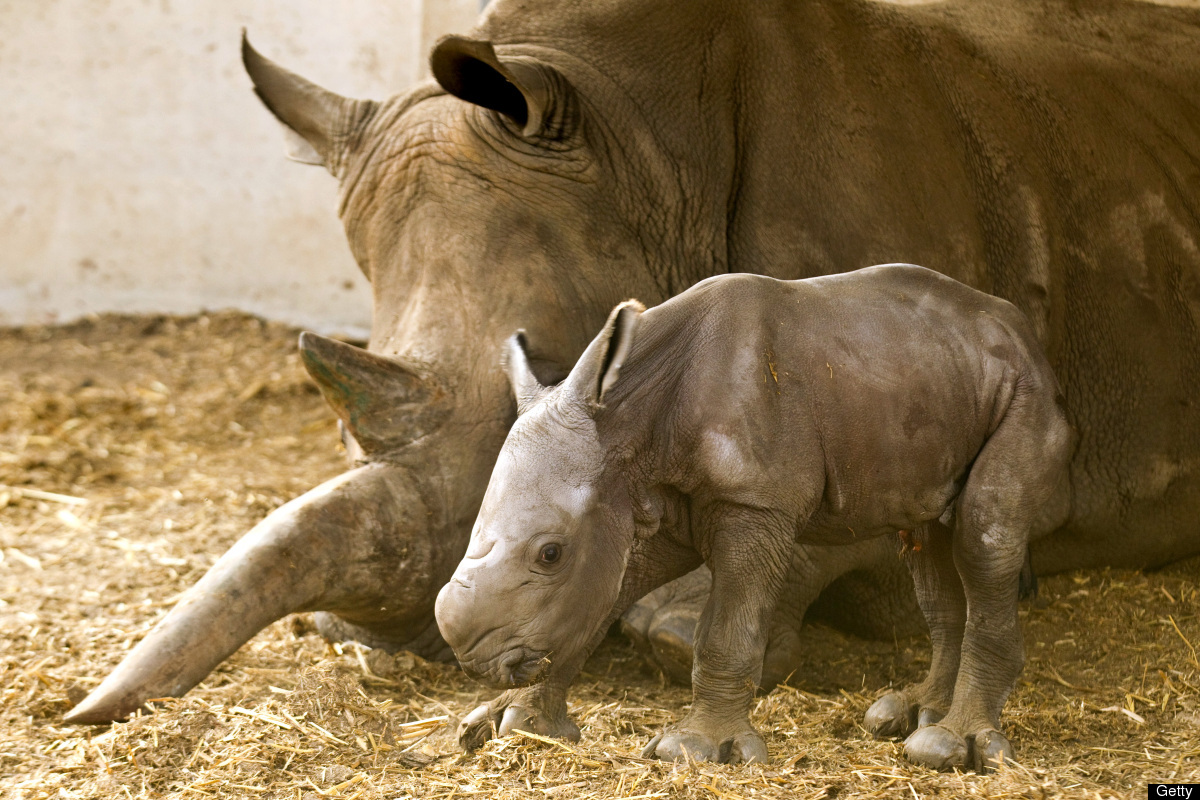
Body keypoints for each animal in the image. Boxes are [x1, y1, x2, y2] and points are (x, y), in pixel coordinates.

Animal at [435, 264, 1073, 769]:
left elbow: (727, 628)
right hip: (932, 379)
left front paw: (694, 750)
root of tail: (1021, 333)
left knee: (985, 532)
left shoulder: (755, 498)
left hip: (1025, 390)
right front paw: (508, 723)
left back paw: (948, 747)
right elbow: (597, 602)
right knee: (928, 541)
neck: (627, 420)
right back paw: (914, 714)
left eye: (550, 554)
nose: (472, 657)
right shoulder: (635, 503)